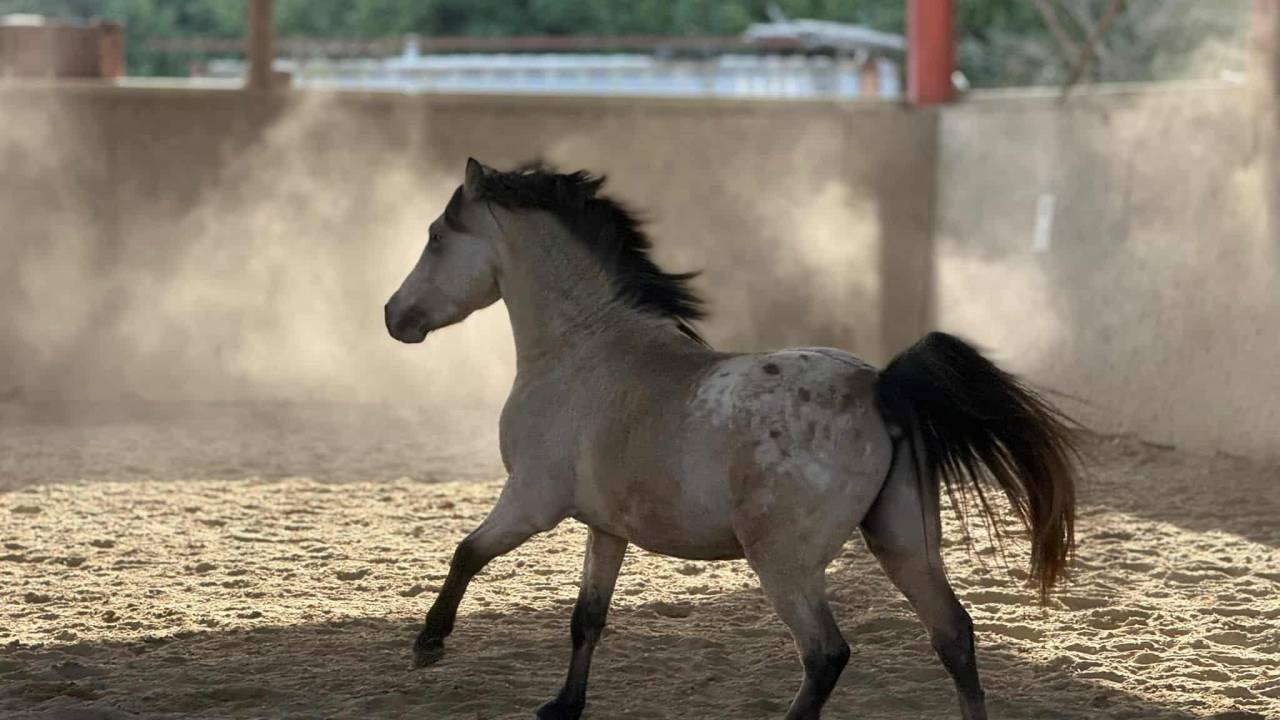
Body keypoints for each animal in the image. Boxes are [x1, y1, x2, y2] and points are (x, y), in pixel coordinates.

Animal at [384, 159, 1080, 720]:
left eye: (436, 237)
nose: (394, 317)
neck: (583, 347)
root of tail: (878, 387)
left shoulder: (532, 501)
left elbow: (467, 553)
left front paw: (428, 645)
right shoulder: (604, 527)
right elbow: (587, 619)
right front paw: (563, 706)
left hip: (785, 563)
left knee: (826, 655)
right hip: (903, 542)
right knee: (954, 637)